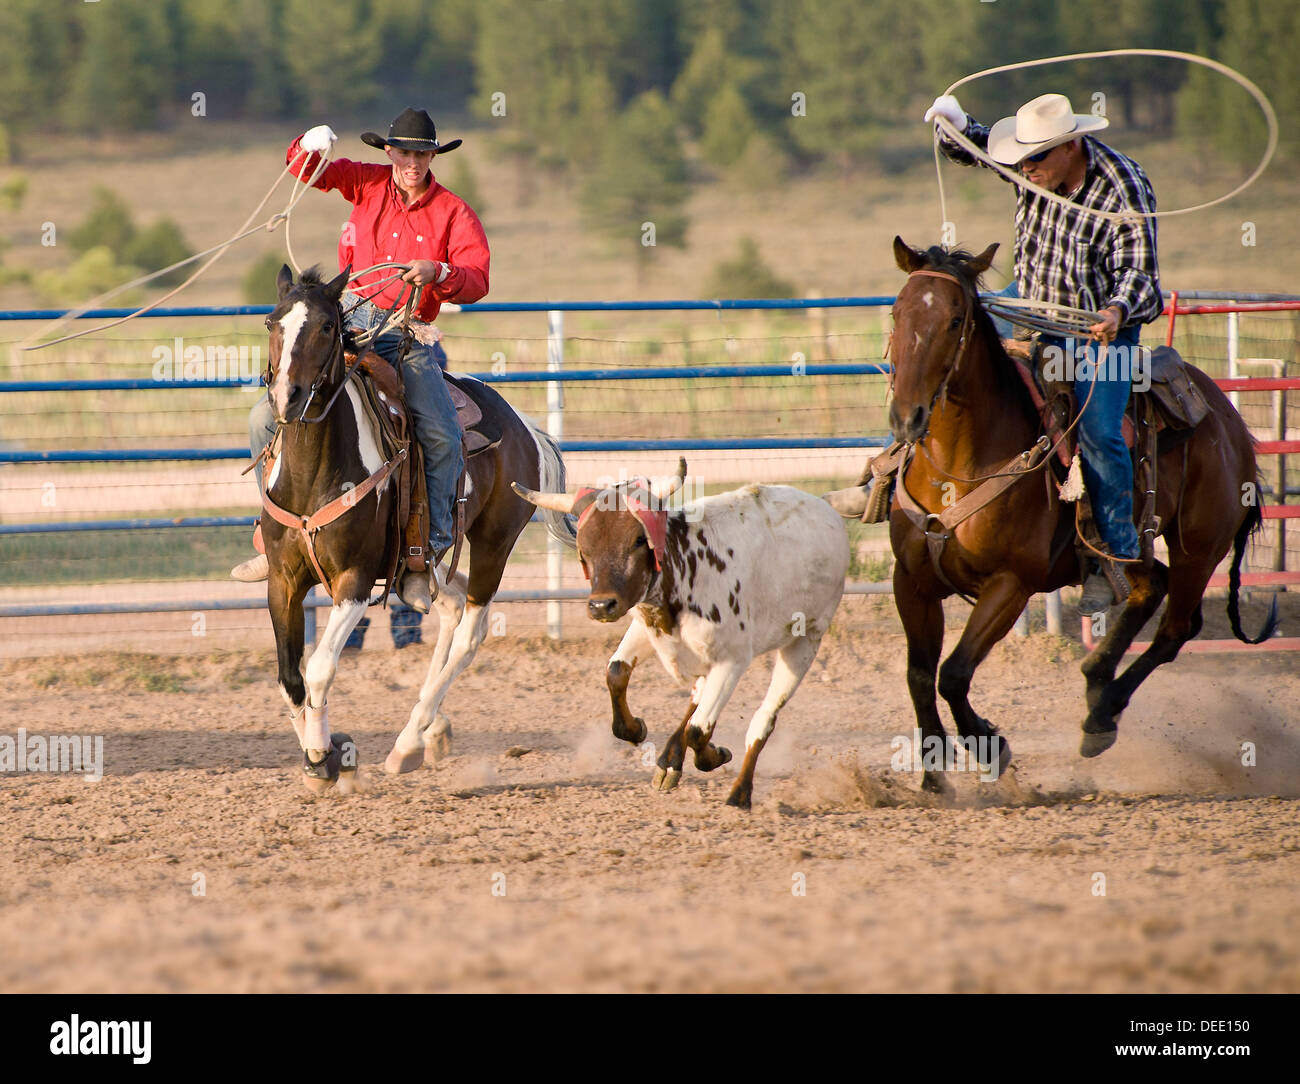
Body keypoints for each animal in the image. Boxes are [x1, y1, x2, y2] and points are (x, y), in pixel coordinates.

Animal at [261, 266, 572, 790]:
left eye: (326, 326)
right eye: (271, 323)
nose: (288, 397)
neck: (311, 476)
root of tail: (523, 425)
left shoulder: (354, 583)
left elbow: (320, 668)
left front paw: (322, 756)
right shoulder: (282, 582)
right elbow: (290, 679)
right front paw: (323, 752)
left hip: (494, 543)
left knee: (470, 632)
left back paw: (408, 741)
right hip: (421, 565)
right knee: (450, 606)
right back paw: (430, 732)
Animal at [832, 239, 1268, 795]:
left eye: (955, 319)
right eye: (897, 312)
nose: (906, 417)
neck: (961, 467)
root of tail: (1231, 422)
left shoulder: (1010, 585)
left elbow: (953, 672)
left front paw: (990, 746)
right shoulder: (911, 580)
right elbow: (919, 675)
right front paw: (934, 777)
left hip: (1199, 547)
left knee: (1175, 627)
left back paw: (1101, 716)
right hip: (1132, 545)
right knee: (1151, 589)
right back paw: (1097, 683)